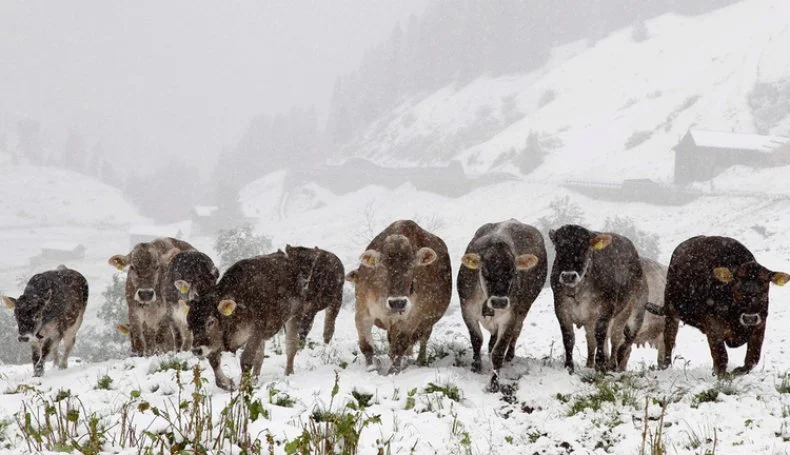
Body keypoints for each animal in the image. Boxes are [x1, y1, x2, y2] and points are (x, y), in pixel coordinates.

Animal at [346, 220, 452, 374]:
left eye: (412, 267)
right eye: (382, 267)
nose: (398, 303)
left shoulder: (413, 317)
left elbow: (400, 346)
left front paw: (393, 371)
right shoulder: (362, 311)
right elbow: (366, 346)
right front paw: (372, 369)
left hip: (427, 322)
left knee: (422, 339)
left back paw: (419, 361)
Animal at [460, 219, 548, 394]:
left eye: (513, 273)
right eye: (485, 273)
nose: (499, 301)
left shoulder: (510, 317)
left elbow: (498, 352)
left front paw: (494, 383)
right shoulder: (466, 310)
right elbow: (476, 339)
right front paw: (476, 367)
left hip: (524, 308)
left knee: (516, 332)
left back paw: (510, 355)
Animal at [664, 237, 790, 376]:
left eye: (764, 288)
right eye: (737, 287)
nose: (749, 318)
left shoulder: (760, 325)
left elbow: (752, 358)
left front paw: (736, 371)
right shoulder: (713, 326)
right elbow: (721, 356)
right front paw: (723, 376)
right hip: (670, 309)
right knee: (668, 339)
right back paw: (664, 367)